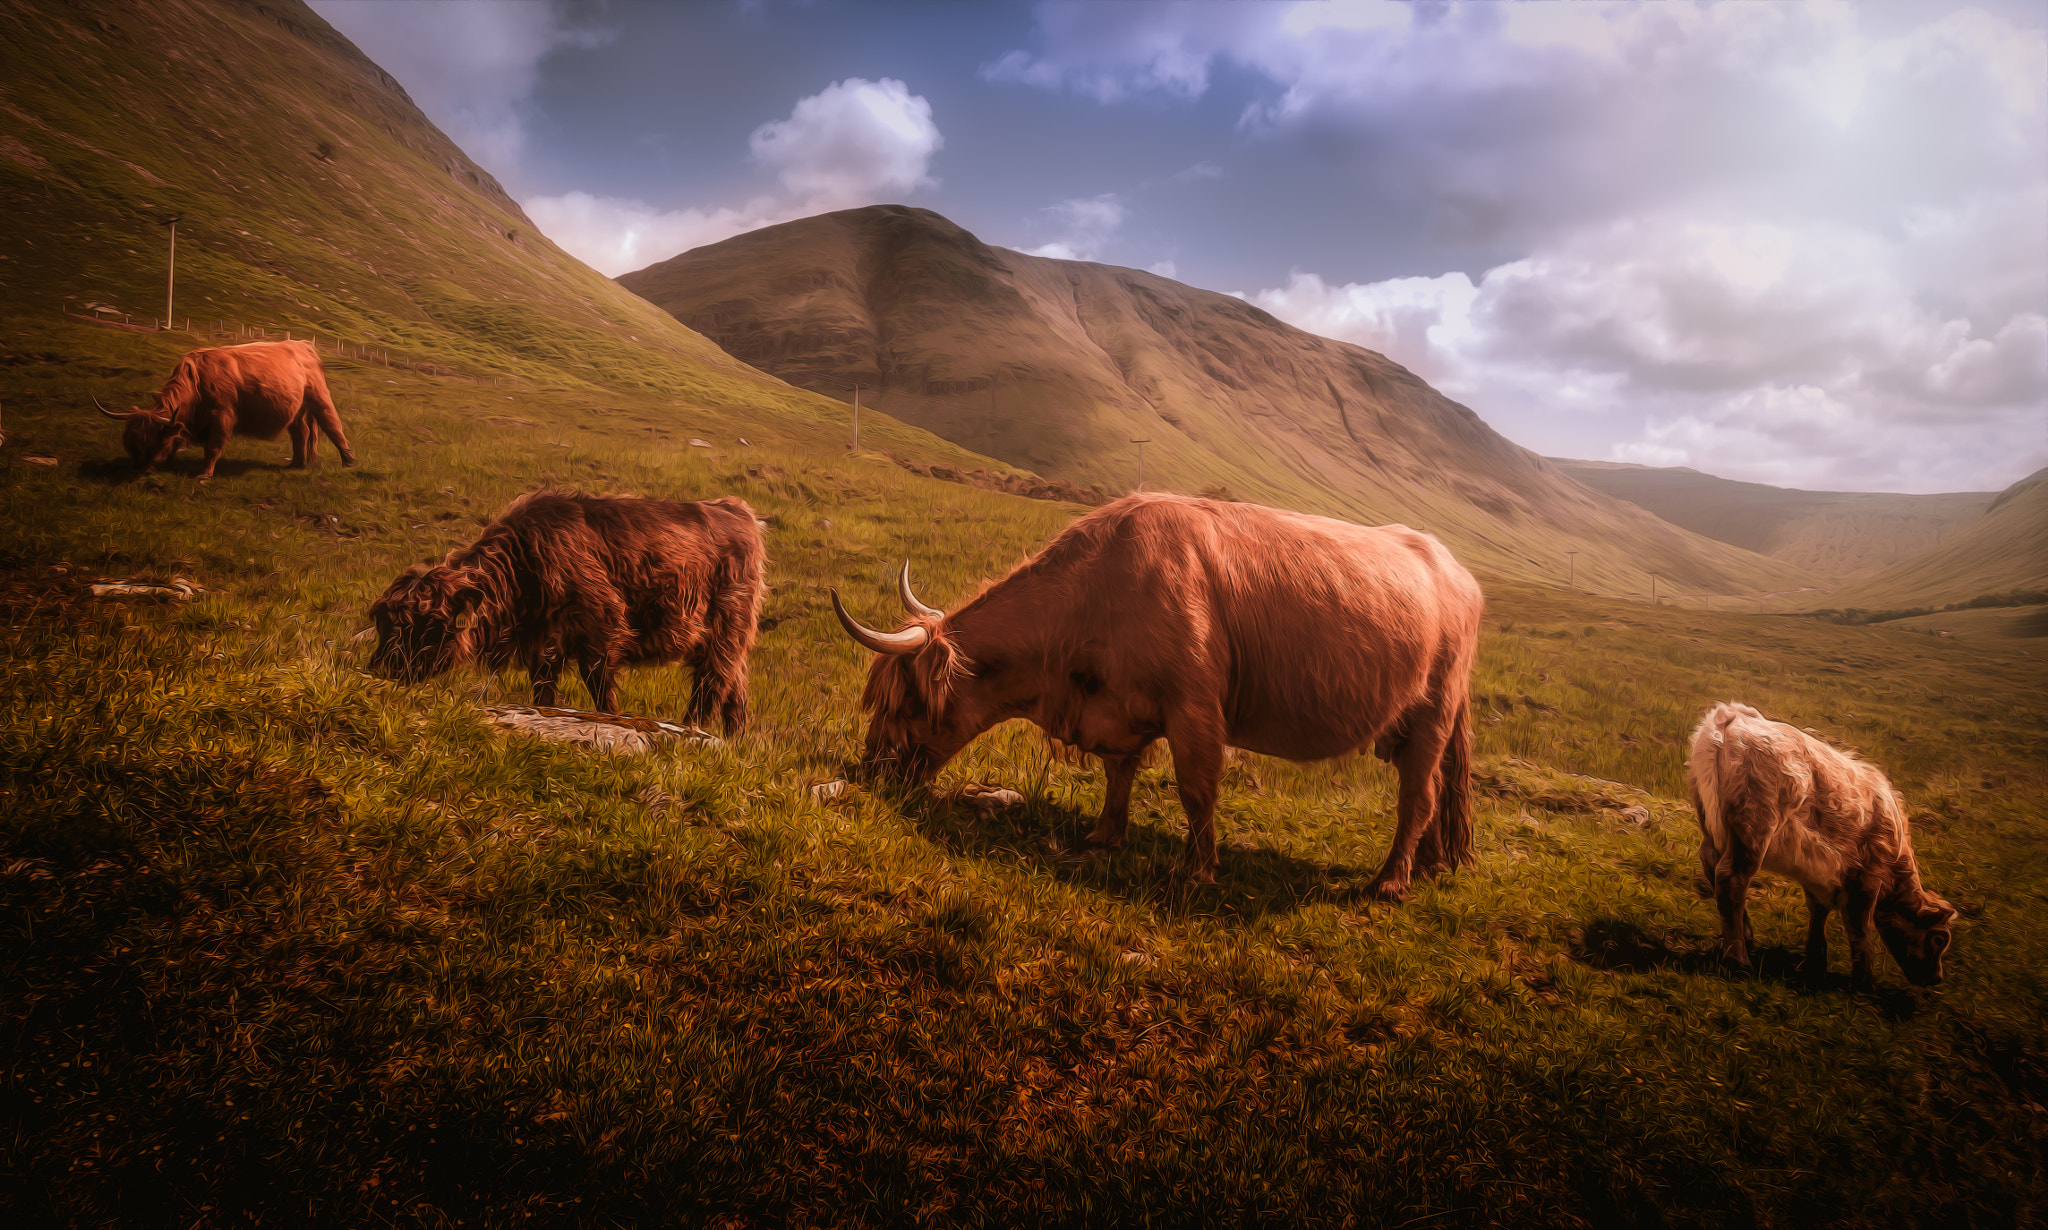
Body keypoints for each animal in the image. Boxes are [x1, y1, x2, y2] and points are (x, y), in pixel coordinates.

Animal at [92, 343, 358, 487]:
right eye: (130, 444)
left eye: (150, 443)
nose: (138, 469)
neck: (196, 383)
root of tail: (301, 344)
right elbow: (177, 439)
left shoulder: (222, 416)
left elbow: (212, 448)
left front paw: (204, 476)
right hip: (295, 408)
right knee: (300, 432)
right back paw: (296, 463)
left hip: (319, 397)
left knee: (333, 425)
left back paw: (349, 462)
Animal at [366, 489, 761, 728]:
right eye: (384, 624)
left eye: (430, 623)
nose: (380, 668)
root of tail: (735, 508)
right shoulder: (543, 640)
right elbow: (544, 687)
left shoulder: (601, 625)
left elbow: (599, 685)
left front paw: (612, 719)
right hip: (730, 640)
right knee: (736, 687)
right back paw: (733, 743)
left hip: (724, 627)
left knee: (712, 682)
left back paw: (694, 727)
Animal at [831, 491, 1490, 892]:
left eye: (904, 703)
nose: (870, 767)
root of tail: (1457, 569)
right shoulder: (1120, 705)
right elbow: (1118, 773)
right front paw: (1104, 836)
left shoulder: (1194, 707)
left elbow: (1196, 789)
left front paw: (1197, 871)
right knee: (1432, 792)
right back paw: (1428, 866)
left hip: (1434, 709)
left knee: (1418, 796)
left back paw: (1389, 883)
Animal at [1687, 699, 1957, 986]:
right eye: (1939, 938)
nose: (1937, 979)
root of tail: (1734, 714)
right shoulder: (1865, 879)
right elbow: (1860, 929)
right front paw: (1864, 980)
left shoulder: (1819, 876)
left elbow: (1819, 914)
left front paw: (1816, 962)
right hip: (1753, 830)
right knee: (1732, 879)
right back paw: (1738, 959)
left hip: (1713, 824)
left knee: (1712, 864)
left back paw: (1746, 936)